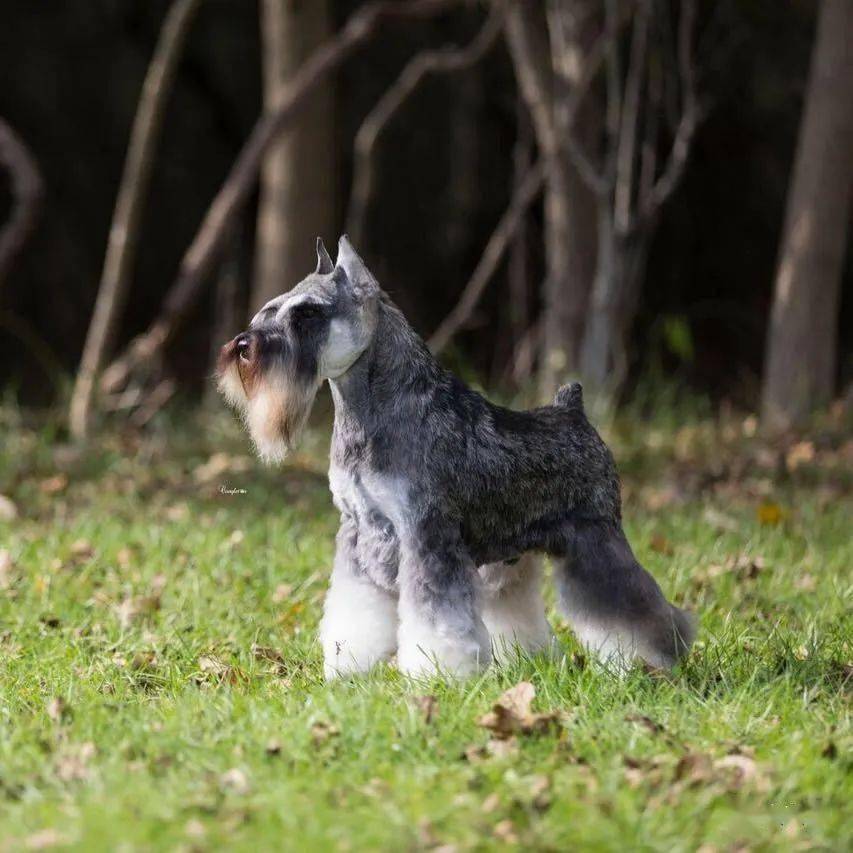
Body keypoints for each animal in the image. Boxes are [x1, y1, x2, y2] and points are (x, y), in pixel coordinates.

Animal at [216, 236, 696, 676]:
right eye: (272, 308)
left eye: (308, 313)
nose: (242, 346)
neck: (375, 410)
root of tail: (572, 408)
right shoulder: (358, 534)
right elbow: (355, 609)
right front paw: (348, 667)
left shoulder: (427, 536)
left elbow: (435, 618)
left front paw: (437, 674)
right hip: (510, 556)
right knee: (515, 607)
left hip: (595, 541)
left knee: (633, 603)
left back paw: (660, 657)